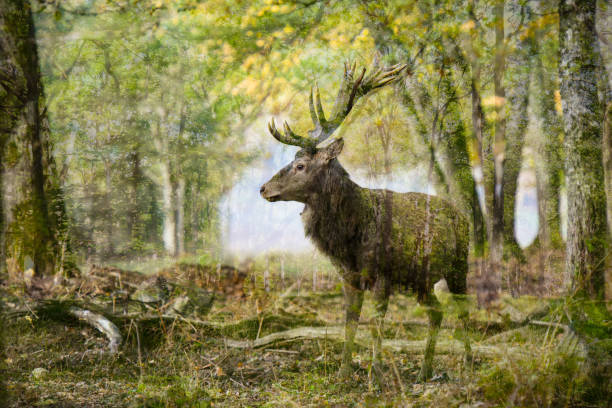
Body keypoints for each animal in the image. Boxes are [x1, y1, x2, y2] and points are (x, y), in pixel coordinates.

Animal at [260, 61, 474, 382]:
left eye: (300, 165)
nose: (263, 188)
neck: (350, 237)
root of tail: (463, 215)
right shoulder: (349, 277)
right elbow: (350, 323)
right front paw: (343, 374)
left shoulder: (383, 274)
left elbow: (375, 326)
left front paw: (375, 376)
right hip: (420, 280)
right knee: (436, 312)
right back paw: (424, 370)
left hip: (459, 264)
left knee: (463, 310)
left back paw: (471, 361)